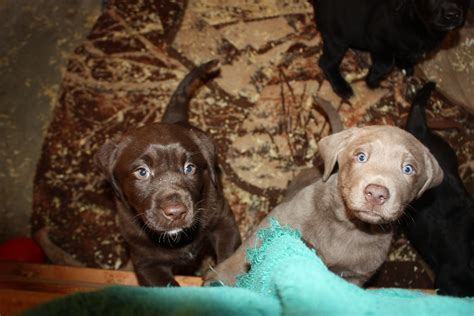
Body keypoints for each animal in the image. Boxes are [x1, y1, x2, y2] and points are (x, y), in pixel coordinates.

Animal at [95, 61, 243, 286]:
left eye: (189, 168)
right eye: (142, 172)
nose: (176, 212)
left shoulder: (224, 223)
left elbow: (229, 256)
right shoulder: (147, 264)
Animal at [312, 0, 468, 99]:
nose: (452, 14)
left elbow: (404, 56)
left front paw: (405, 66)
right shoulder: (377, 39)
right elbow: (385, 64)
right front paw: (372, 81)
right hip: (337, 39)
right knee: (326, 63)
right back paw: (342, 87)